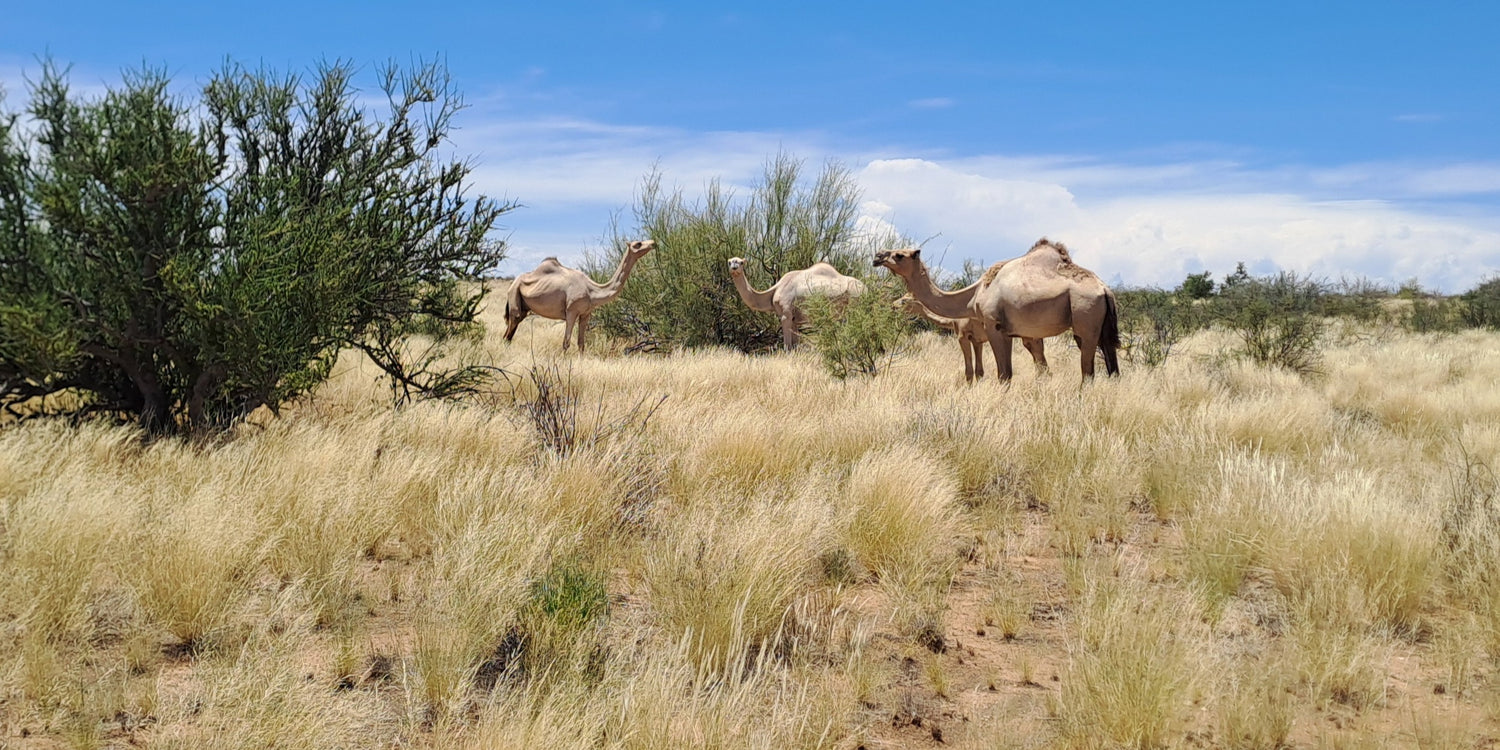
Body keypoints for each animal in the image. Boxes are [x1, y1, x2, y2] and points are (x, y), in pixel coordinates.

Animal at [503, 239, 656, 352]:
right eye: (638, 243)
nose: (653, 242)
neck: (592, 291)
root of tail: (511, 284)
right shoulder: (571, 311)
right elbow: (566, 342)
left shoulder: (586, 313)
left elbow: (581, 343)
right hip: (514, 296)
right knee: (509, 332)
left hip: (523, 308)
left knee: (509, 335)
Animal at [727, 257, 867, 350]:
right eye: (729, 261)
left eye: (741, 262)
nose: (734, 266)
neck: (775, 290)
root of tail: (866, 289)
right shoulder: (794, 319)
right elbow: (795, 346)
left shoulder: (786, 314)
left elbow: (787, 347)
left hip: (855, 302)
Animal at [874, 253, 1048, 383]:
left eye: (904, 300)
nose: (893, 305)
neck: (953, 320)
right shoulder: (977, 340)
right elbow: (979, 371)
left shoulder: (963, 336)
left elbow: (969, 371)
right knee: (1041, 363)